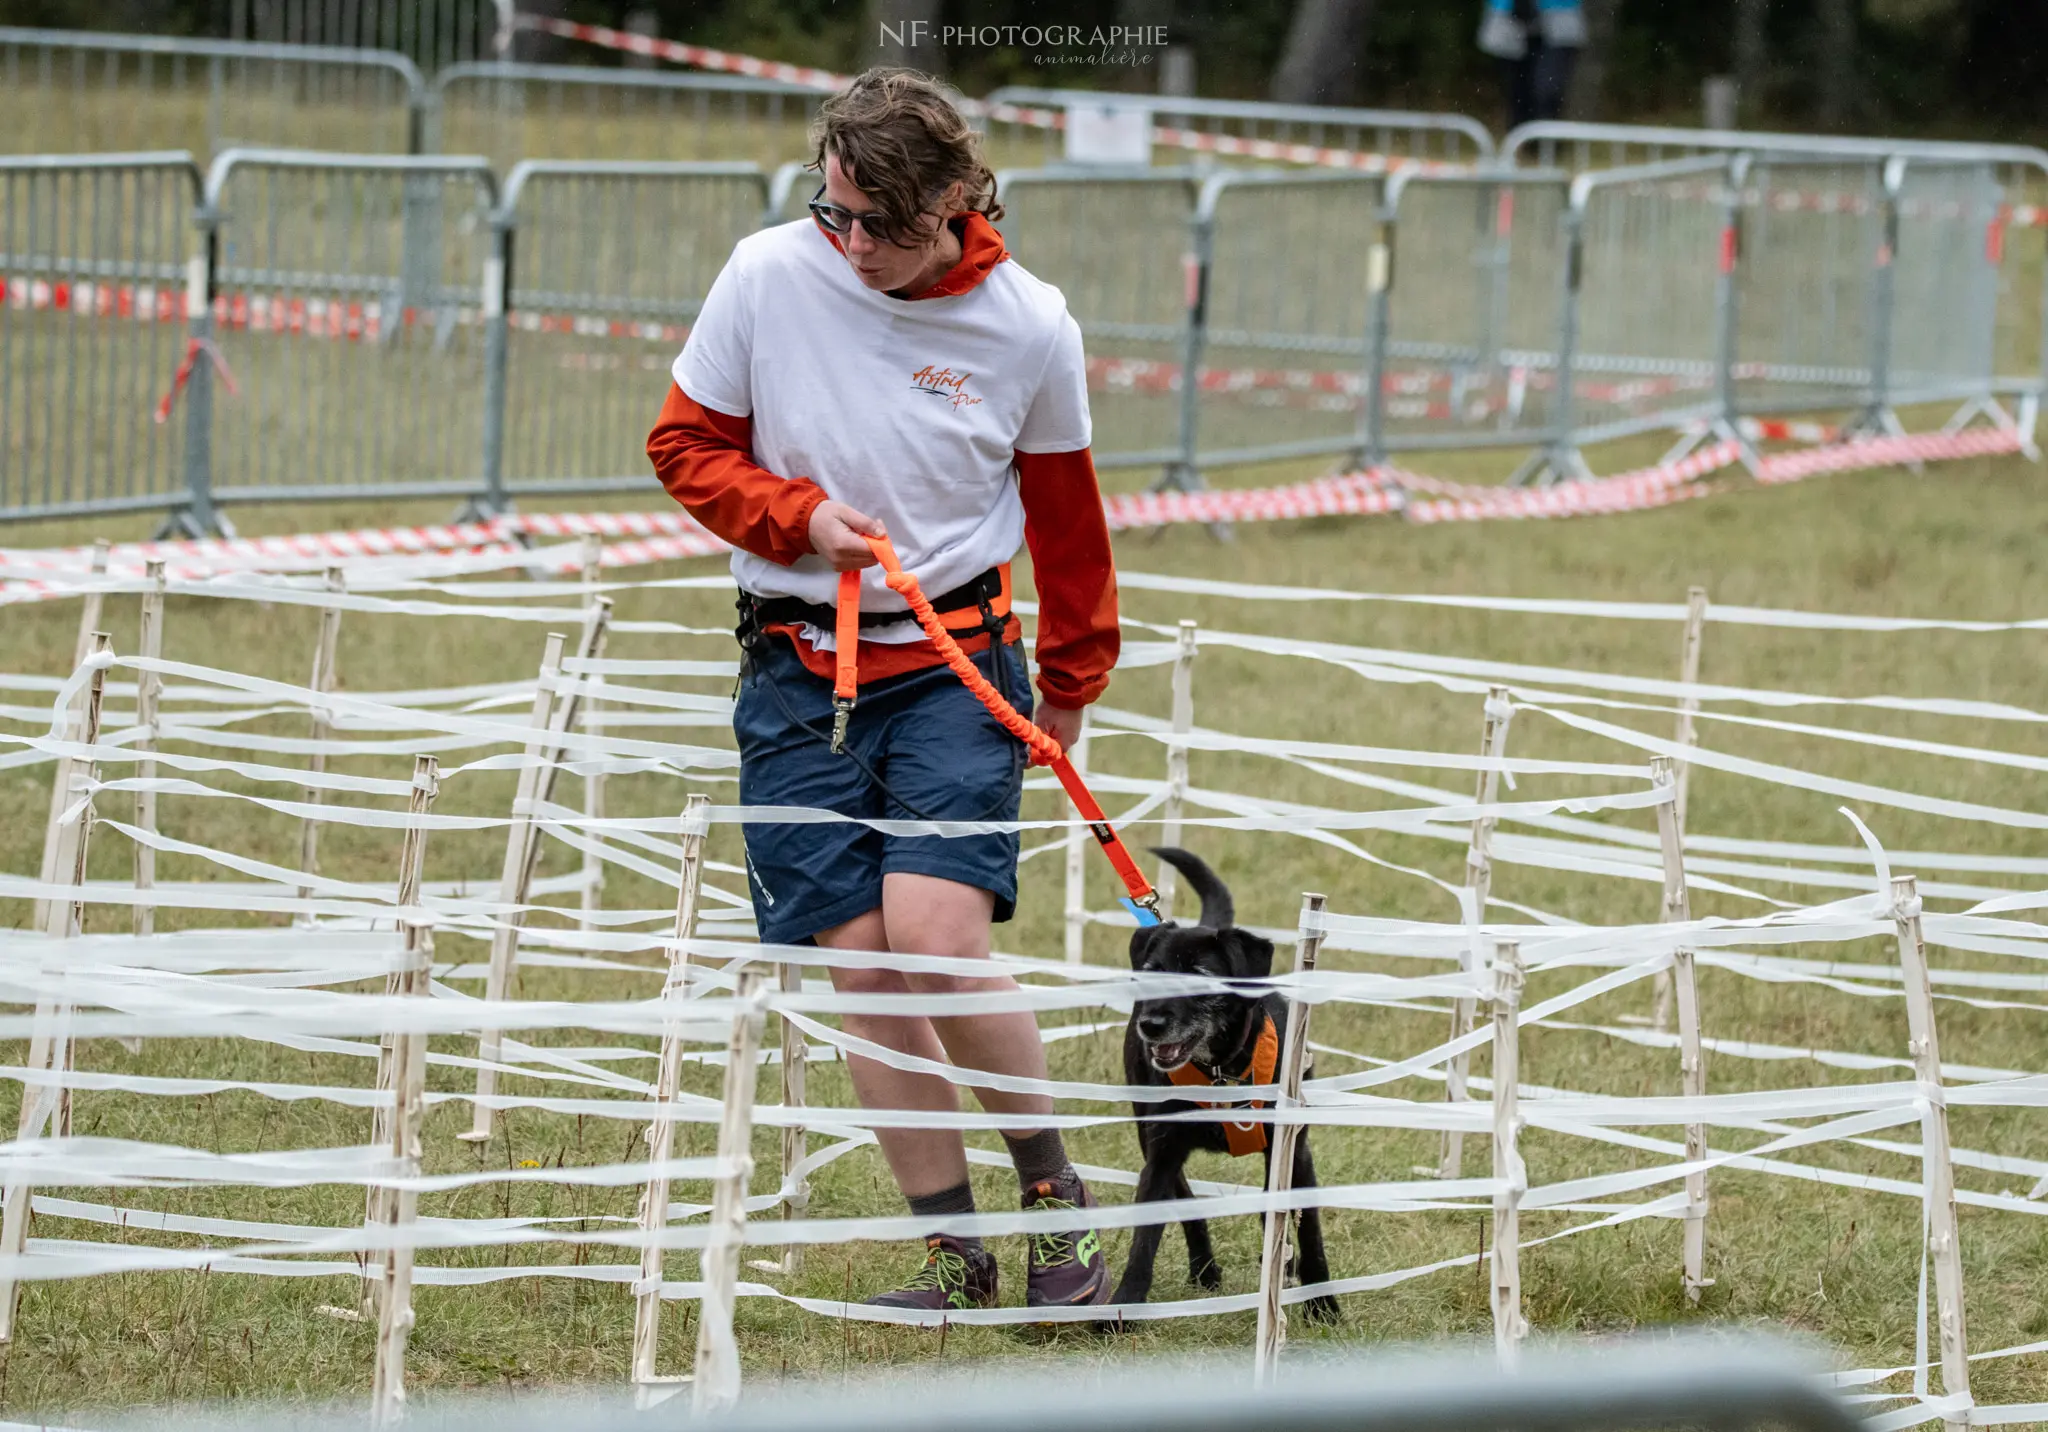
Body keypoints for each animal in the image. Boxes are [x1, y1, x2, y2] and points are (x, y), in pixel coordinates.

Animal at [1114, 844, 1335, 1327]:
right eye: (1151, 972)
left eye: (1200, 975)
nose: (1150, 1025)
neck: (1221, 1070)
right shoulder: (1161, 1152)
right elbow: (1145, 1239)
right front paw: (1120, 1308)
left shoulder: (1294, 1150)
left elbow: (1309, 1230)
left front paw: (1324, 1305)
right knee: (1189, 1204)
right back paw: (1206, 1270)